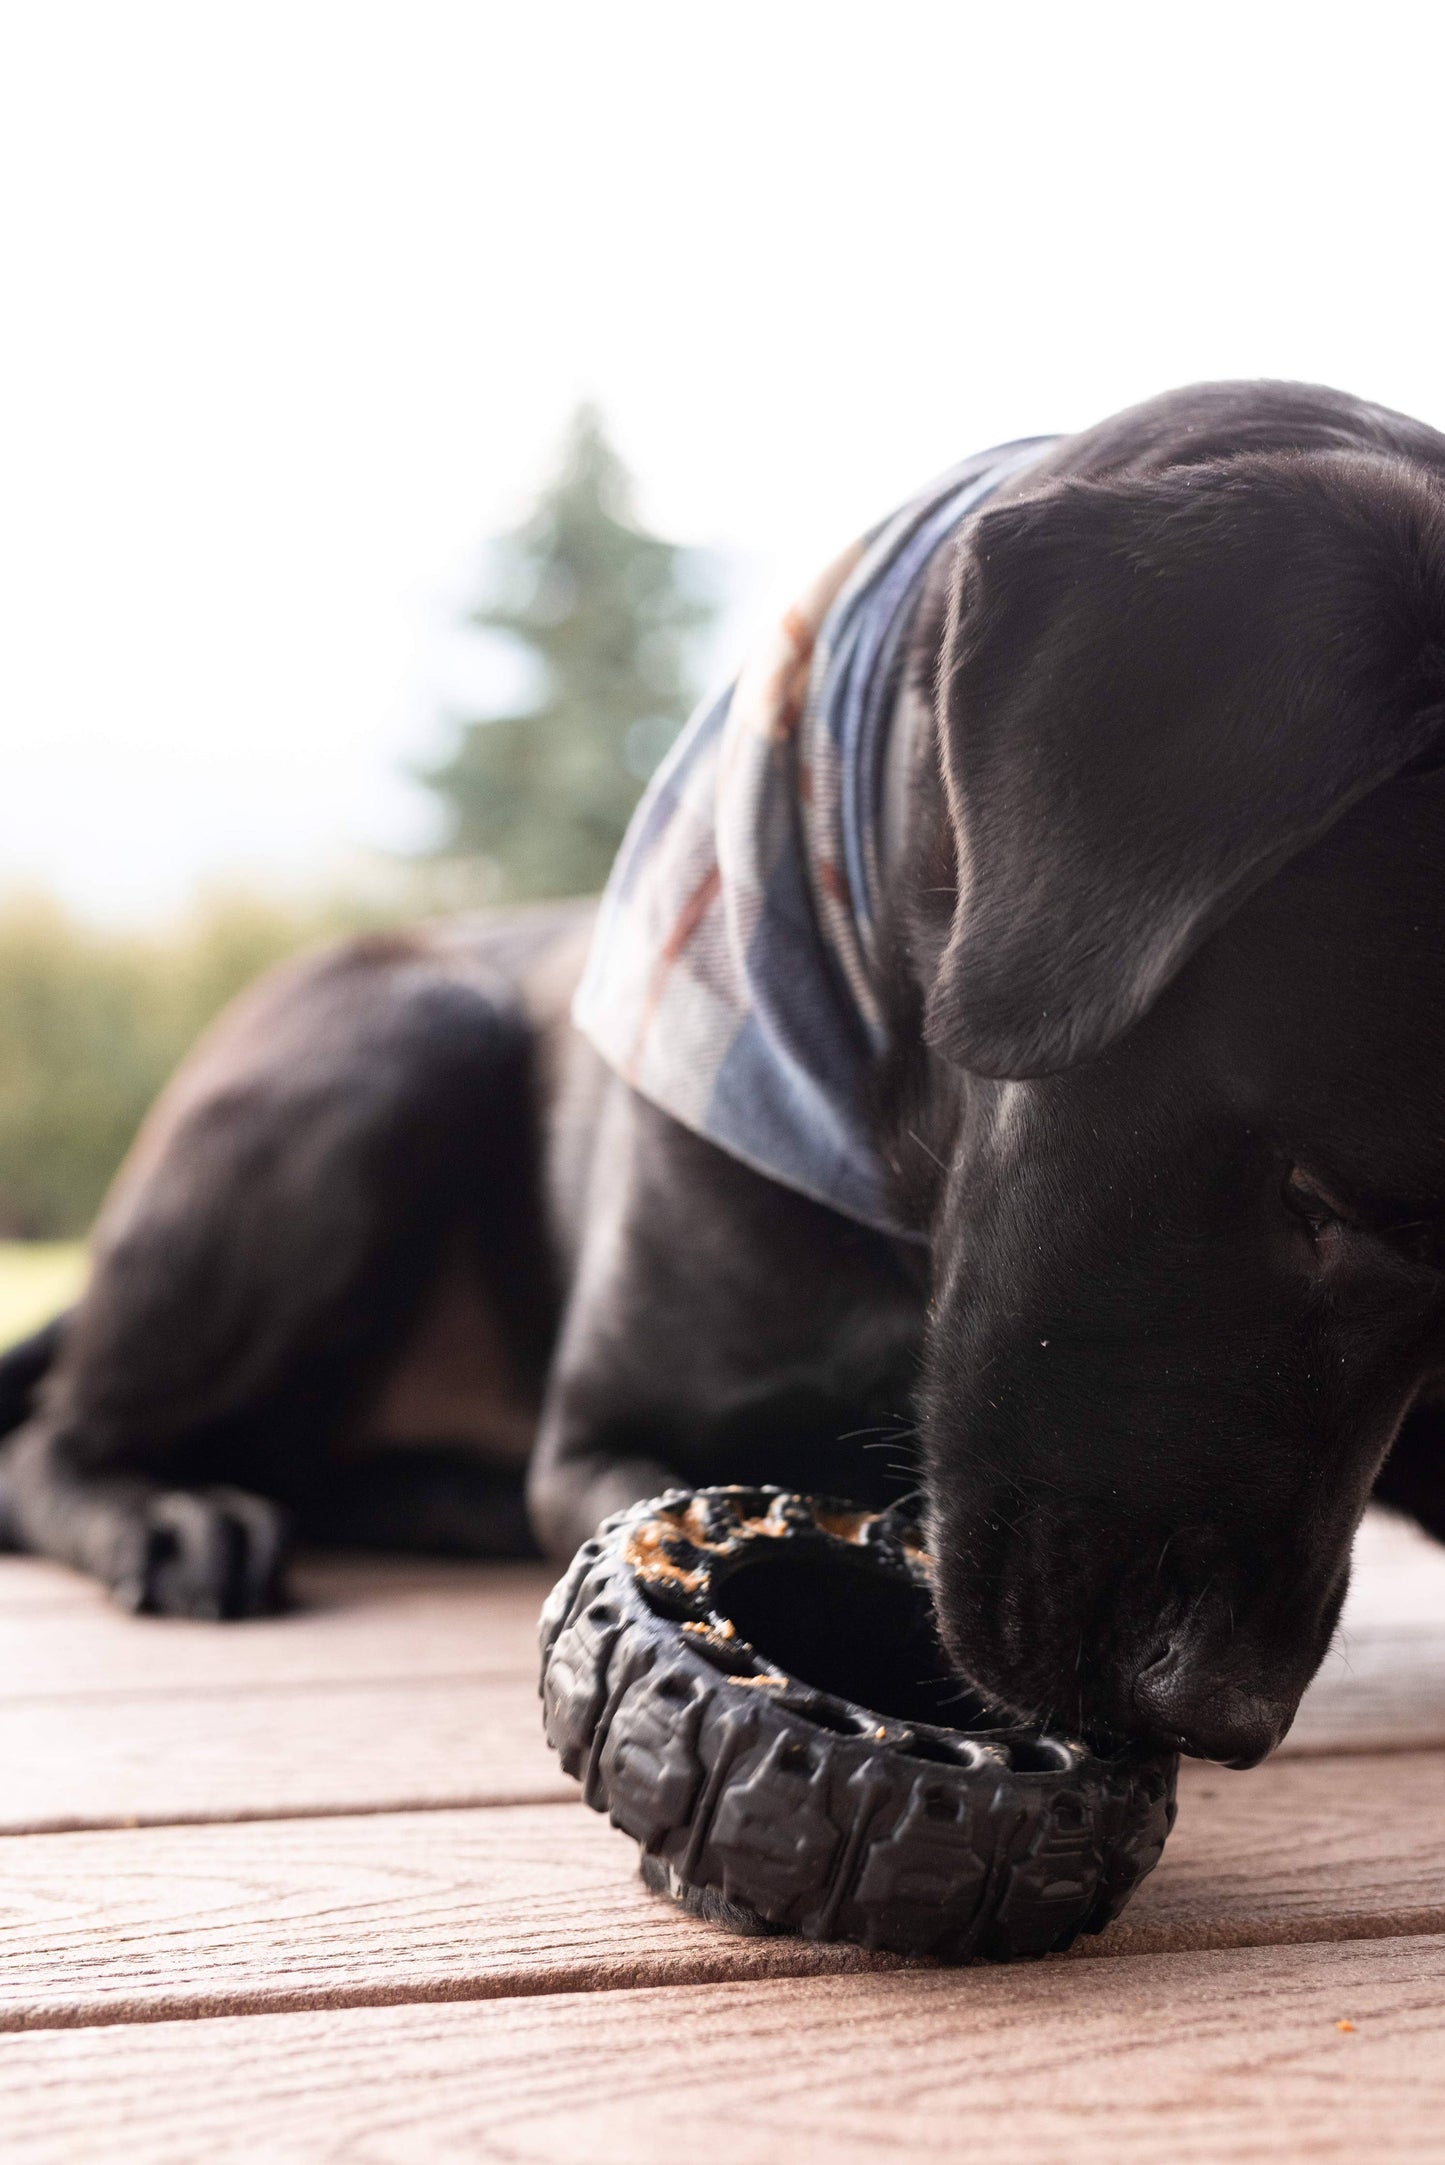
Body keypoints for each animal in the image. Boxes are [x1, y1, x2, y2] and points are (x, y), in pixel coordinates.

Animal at [8, 381, 1445, 1766]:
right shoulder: (613, 1439)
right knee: (52, 1443)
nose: (1225, 1717)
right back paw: (171, 1510)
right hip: (391, 1044)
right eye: (1313, 1196)